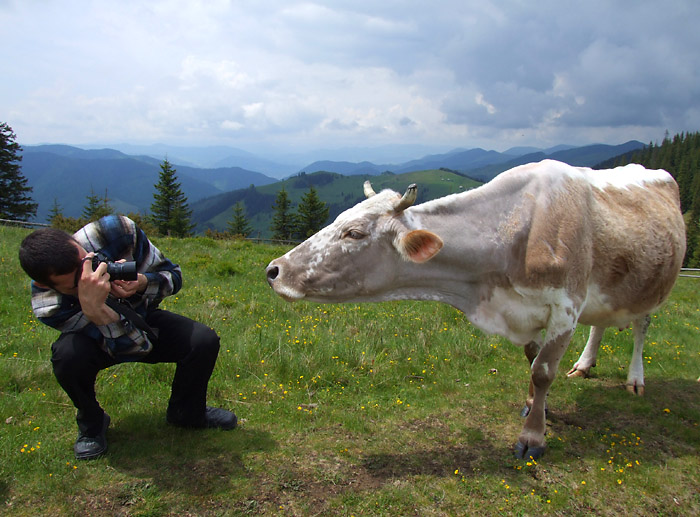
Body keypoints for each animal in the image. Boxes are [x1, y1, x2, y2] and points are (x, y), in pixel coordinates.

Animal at [266, 159, 688, 458]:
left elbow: (543, 371)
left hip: (656, 283)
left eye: (354, 233)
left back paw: (635, 379)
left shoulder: (566, 307)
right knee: (601, 323)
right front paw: (534, 407)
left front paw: (533, 436)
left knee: (641, 327)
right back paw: (584, 364)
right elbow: (532, 359)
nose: (275, 270)